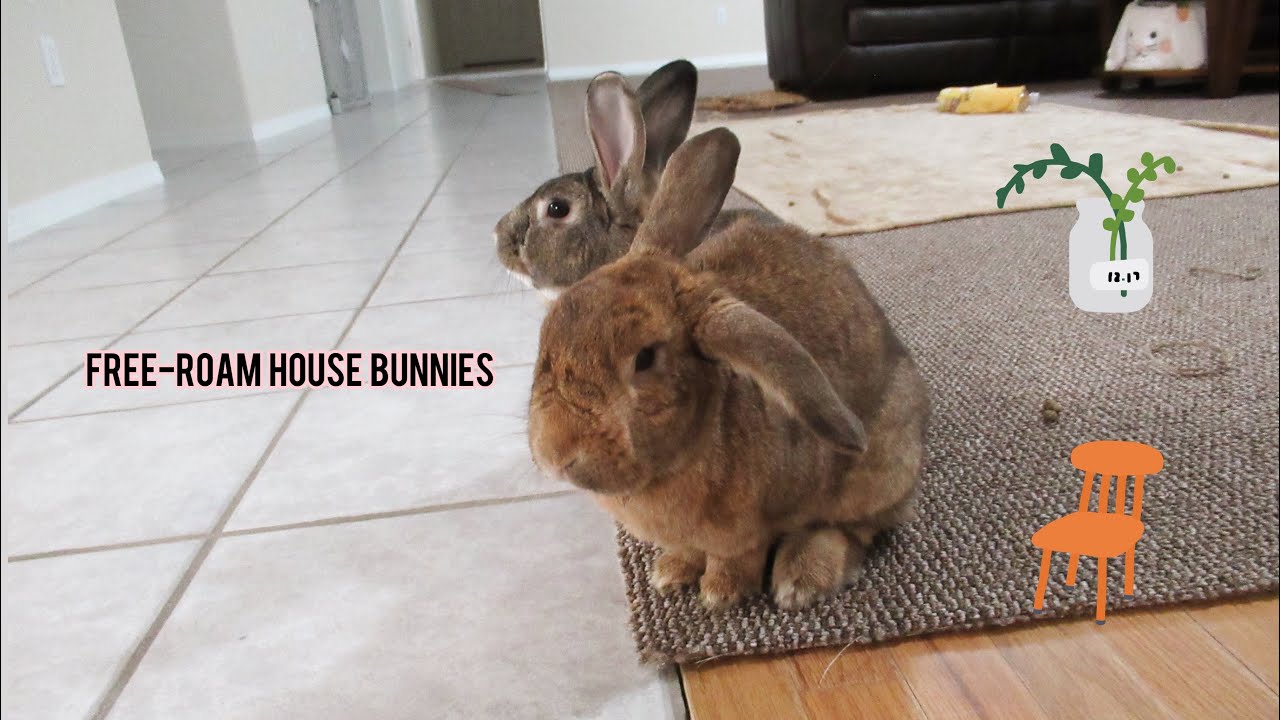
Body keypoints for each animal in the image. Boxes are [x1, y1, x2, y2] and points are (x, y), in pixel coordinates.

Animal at [526, 98, 930, 611]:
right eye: (547, 335)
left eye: (645, 358)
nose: (556, 454)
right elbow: (686, 552)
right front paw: (670, 575)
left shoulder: (744, 534)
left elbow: (736, 558)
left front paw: (719, 595)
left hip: (876, 472)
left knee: (851, 529)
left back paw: (802, 578)